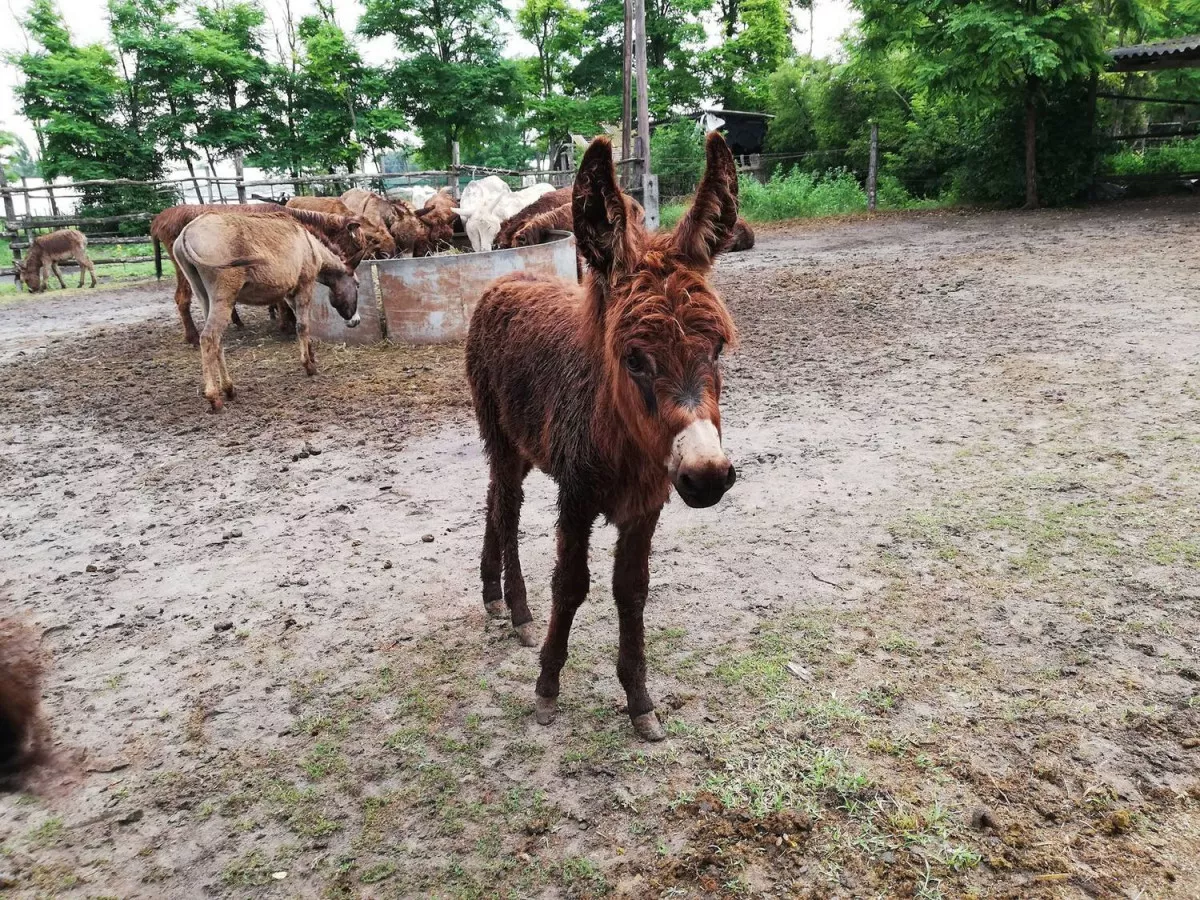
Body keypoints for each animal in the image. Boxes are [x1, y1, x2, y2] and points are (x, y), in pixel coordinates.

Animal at [468, 132, 739, 739]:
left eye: (716, 348)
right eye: (634, 358)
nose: (708, 478)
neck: (624, 444)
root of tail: (502, 279)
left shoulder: (647, 504)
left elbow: (631, 590)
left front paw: (639, 701)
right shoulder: (576, 496)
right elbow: (570, 584)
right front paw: (547, 688)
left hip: (522, 445)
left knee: (494, 498)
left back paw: (493, 594)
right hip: (498, 436)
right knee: (506, 508)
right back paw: (518, 611)